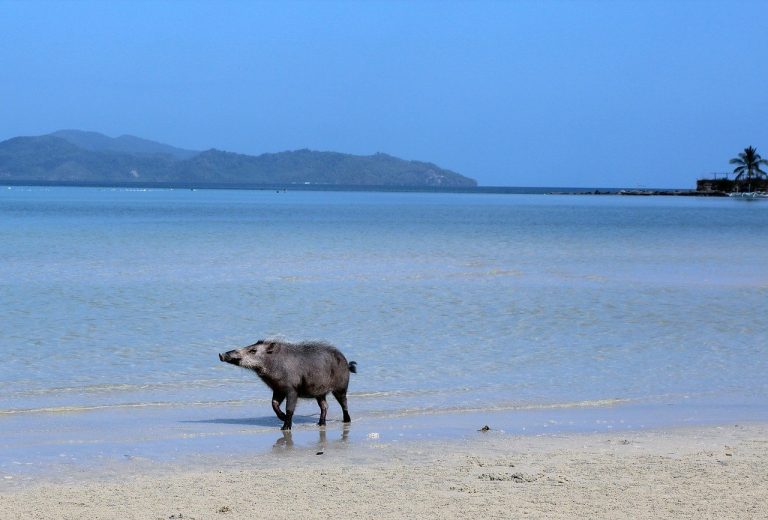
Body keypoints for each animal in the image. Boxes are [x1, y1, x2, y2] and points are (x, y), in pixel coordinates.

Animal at [218, 339, 357, 430]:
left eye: (253, 350)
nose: (221, 354)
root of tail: (347, 363)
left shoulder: (292, 390)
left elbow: (289, 409)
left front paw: (285, 428)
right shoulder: (278, 389)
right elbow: (274, 404)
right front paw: (282, 418)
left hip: (341, 387)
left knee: (344, 403)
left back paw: (346, 420)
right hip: (320, 393)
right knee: (324, 406)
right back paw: (321, 424)